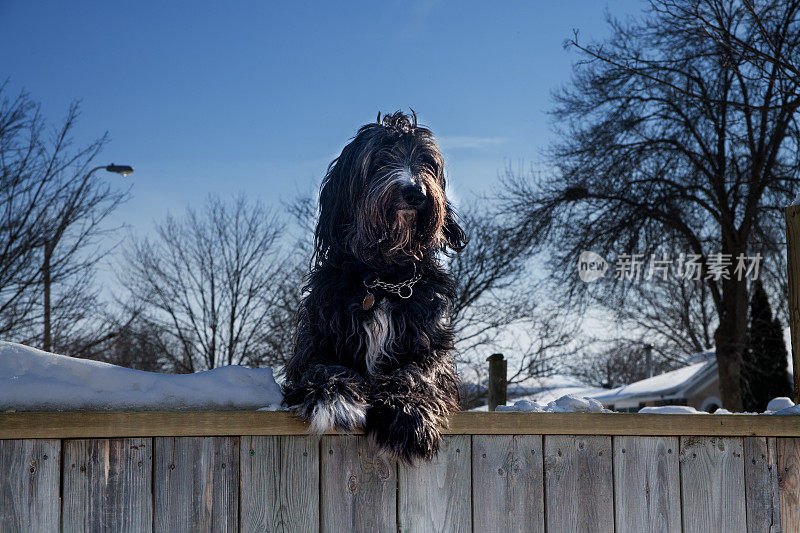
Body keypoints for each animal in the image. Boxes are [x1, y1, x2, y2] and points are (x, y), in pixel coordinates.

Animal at [282, 109, 466, 462]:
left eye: (426, 161)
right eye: (380, 157)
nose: (416, 193)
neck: (384, 280)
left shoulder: (431, 348)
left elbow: (417, 372)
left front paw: (407, 414)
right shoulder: (314, 346)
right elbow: (324, 368)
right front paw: (336, 400)